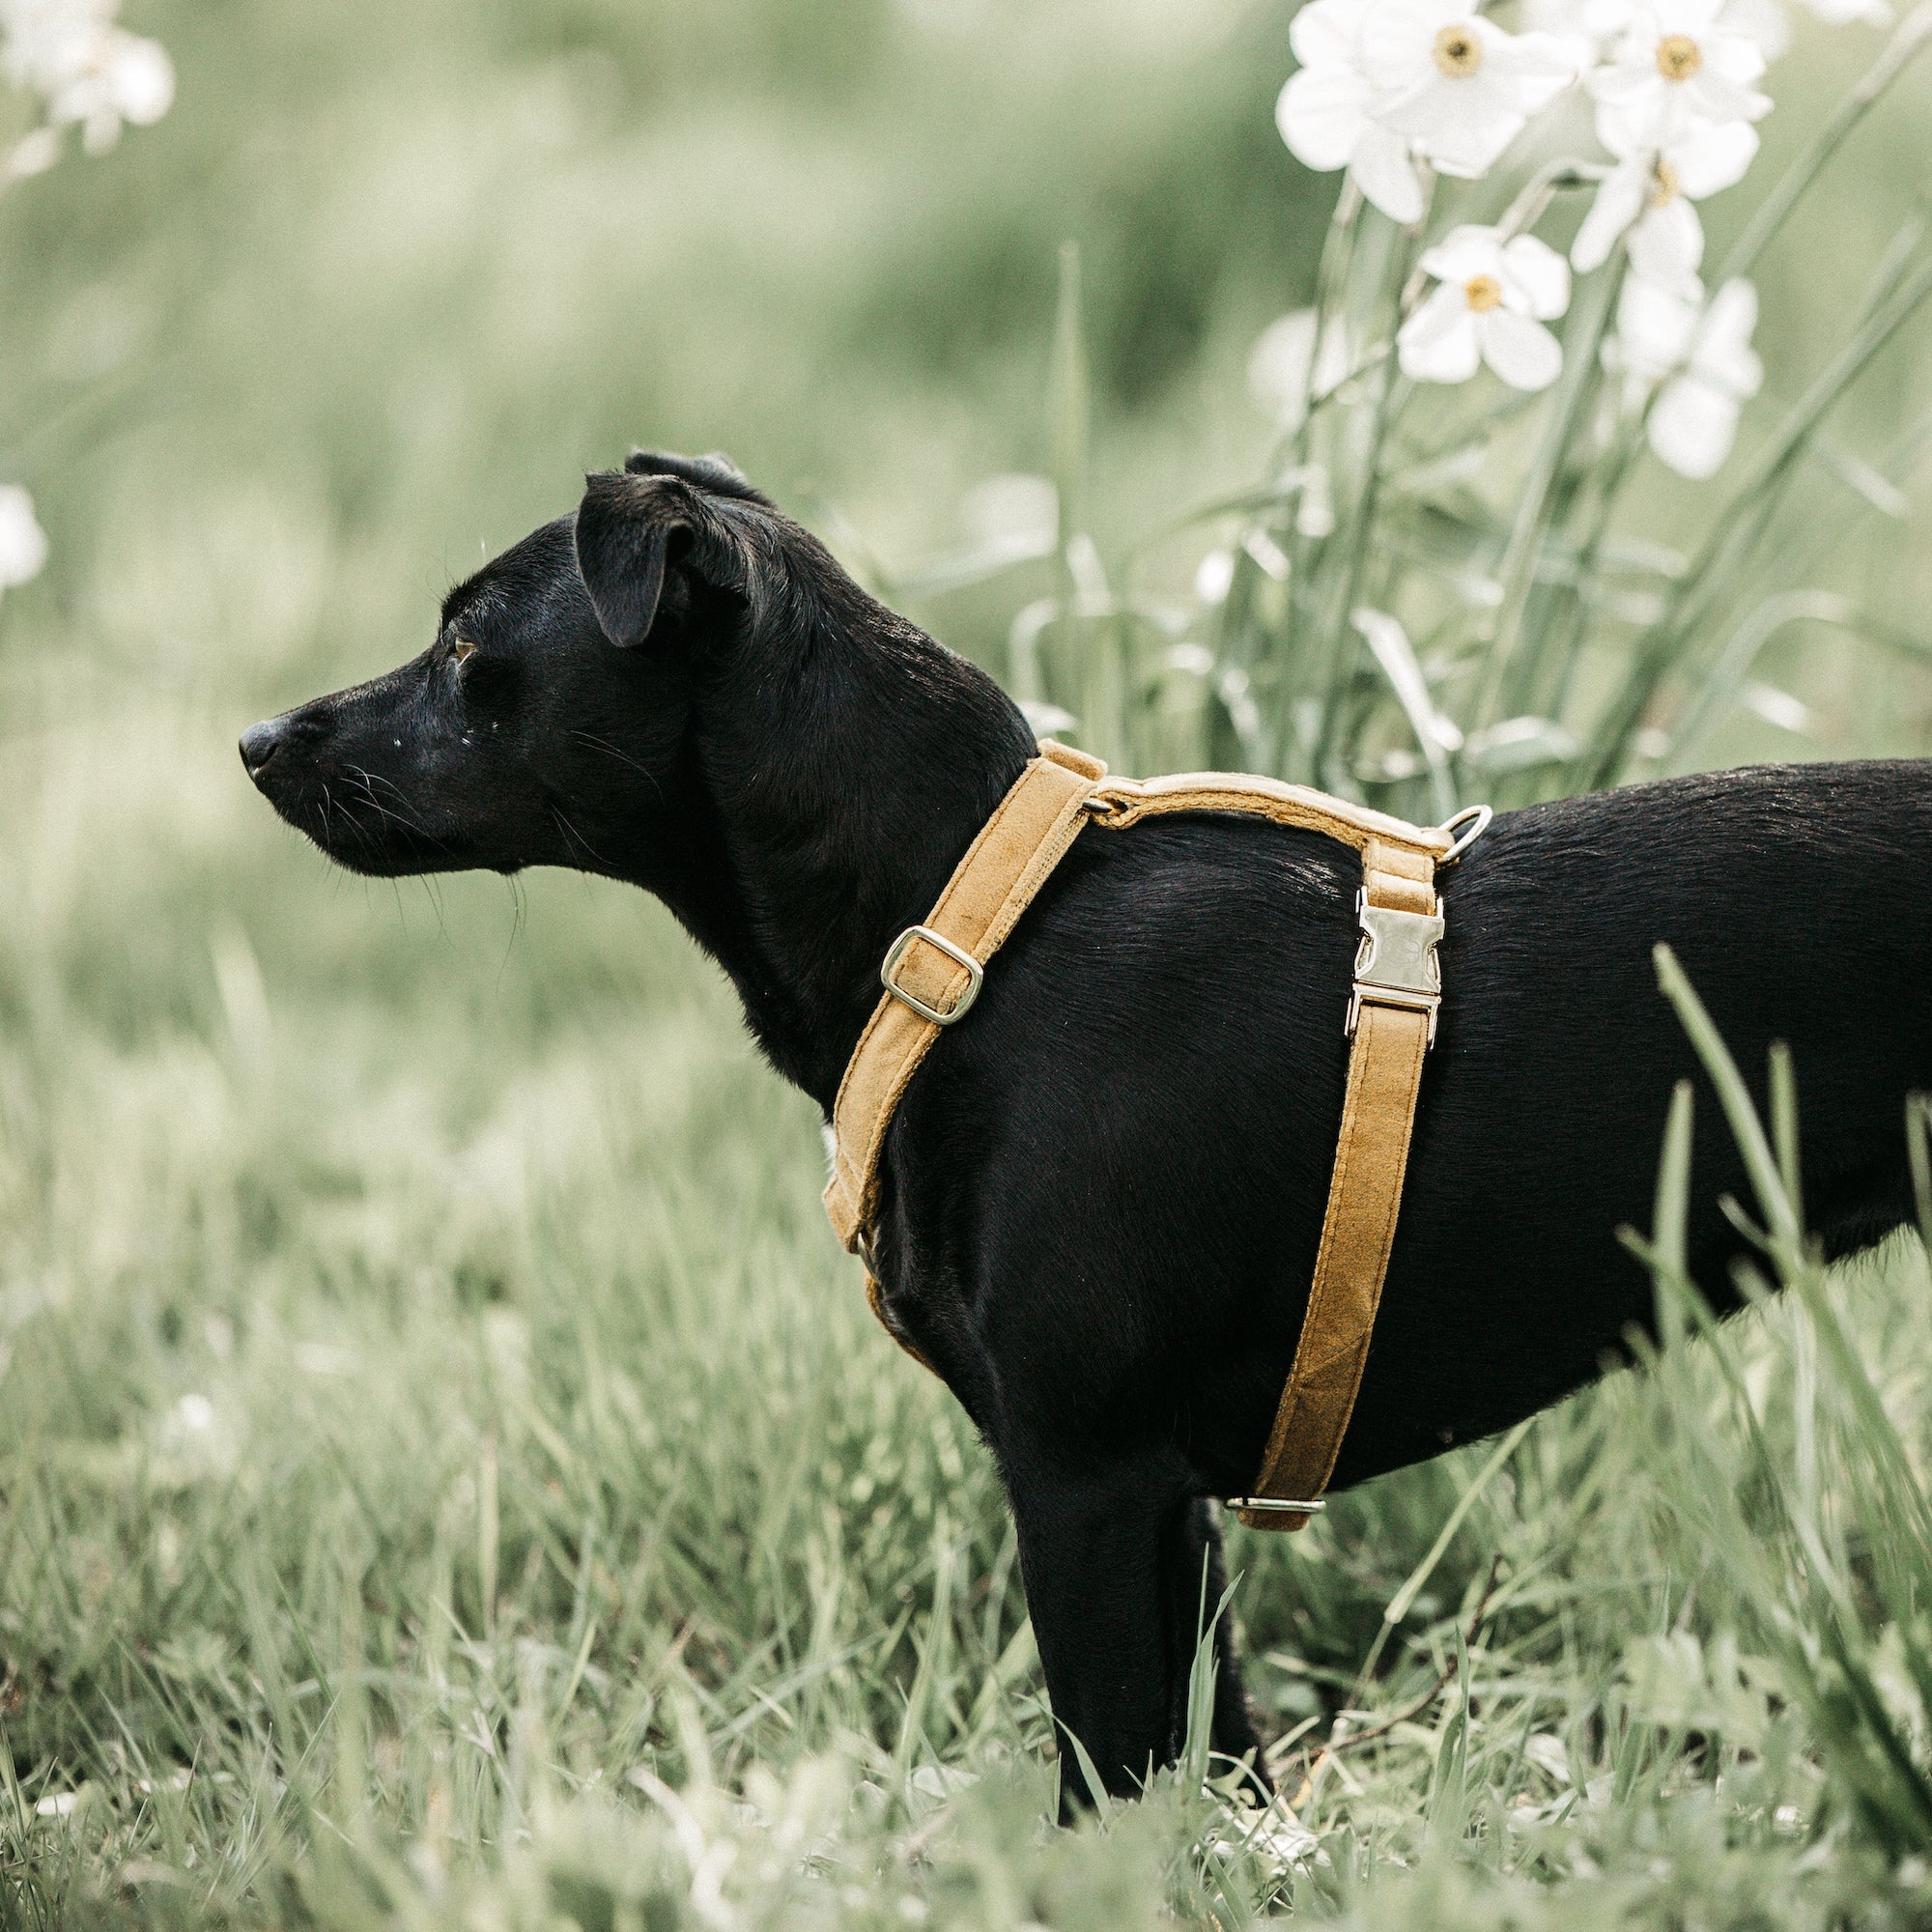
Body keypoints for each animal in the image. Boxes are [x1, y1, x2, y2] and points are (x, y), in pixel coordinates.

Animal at [242, 452, 1932, 1808]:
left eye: (469, 645)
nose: (258, 739)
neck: (965, 922)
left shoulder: (1086, 1478)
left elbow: (1104, 1778)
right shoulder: (1169, 1514)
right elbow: (1218, 1777)